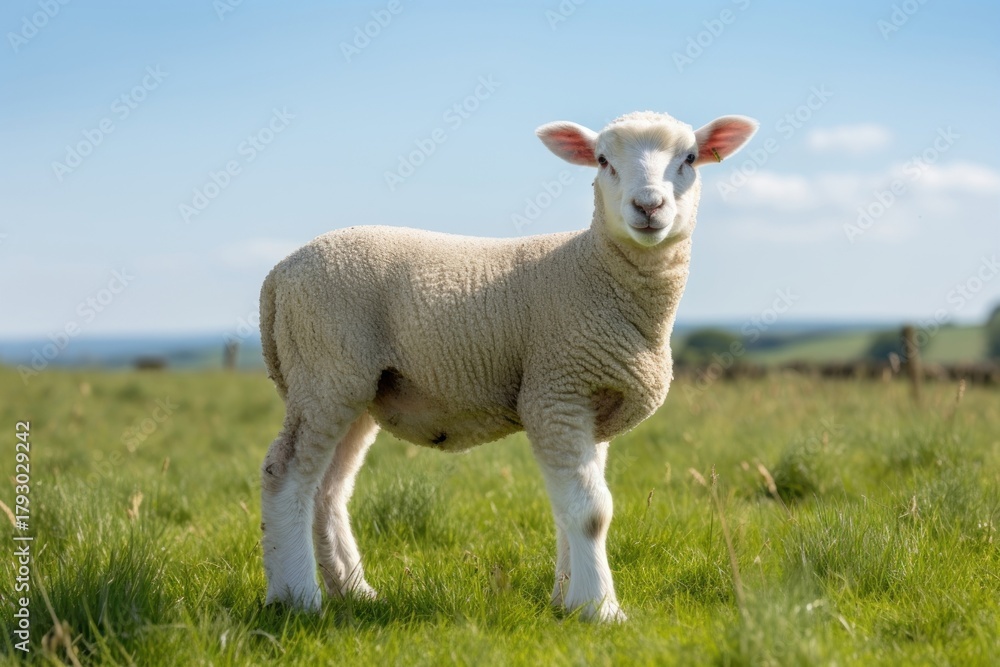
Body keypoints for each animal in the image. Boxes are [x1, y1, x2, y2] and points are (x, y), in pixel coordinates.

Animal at [258, 110, 758, 622]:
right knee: (286, 473)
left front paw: (565, 600)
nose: (649, 205)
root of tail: (279, 273)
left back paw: (354, 591)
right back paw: (296, 597)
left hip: (355, 388)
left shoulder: (588, 404)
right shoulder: (556, 392)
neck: (595, 270)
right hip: (325, 369)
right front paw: (600, 609)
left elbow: (568, 508)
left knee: (328, 489)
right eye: (602, 160)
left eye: (690, 158)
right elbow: (591, 512)